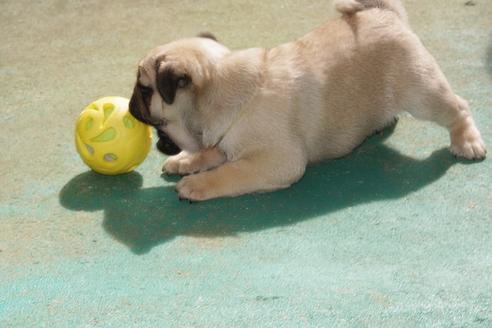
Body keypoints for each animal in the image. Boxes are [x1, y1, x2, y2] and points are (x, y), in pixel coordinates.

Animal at [129, 0, 486, 201]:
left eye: (144, 89)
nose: (131, 105)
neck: (225, 85)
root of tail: (382, 13)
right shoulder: (222, 139)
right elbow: (212, 153)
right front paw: (188, 160)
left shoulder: (277, 161)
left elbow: (231, 172)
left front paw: (198, 183)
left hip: (421, 92)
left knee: (458, 108)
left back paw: (467, 141)